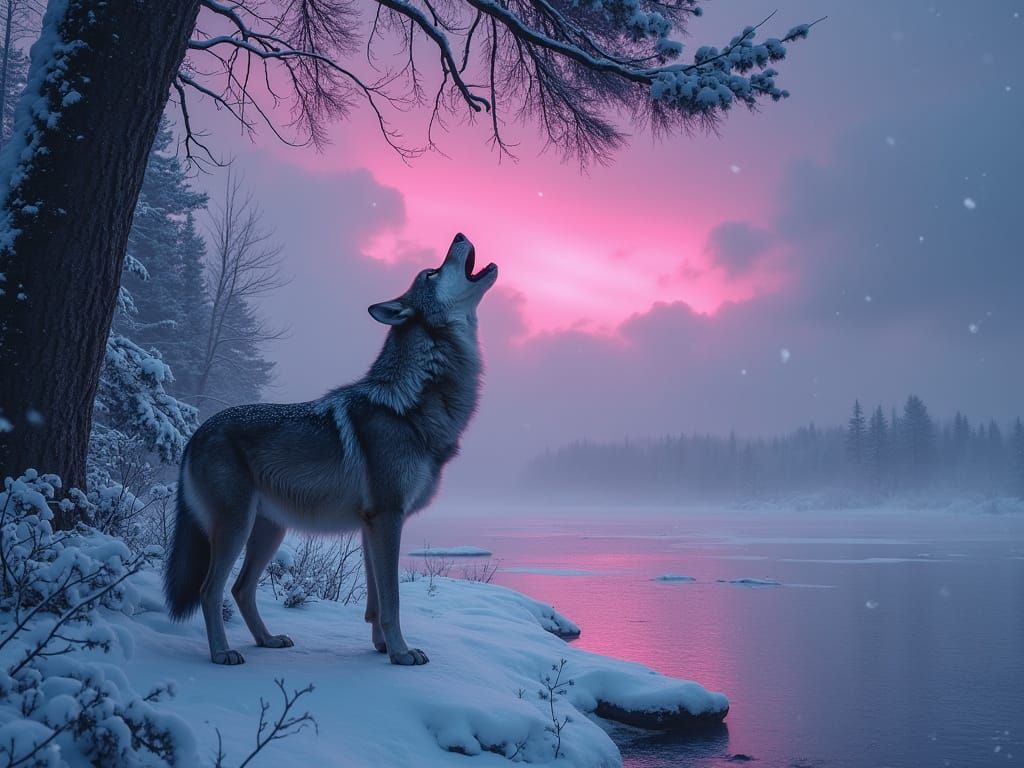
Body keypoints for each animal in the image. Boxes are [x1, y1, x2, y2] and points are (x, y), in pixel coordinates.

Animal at [164, 233, 497, 666]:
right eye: (431, 272)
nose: (458, 235)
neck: (410, 404)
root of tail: (195, 432)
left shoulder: (372, 525)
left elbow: (375, 602)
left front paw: (381, 648)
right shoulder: (387, 517)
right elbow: (392, 601)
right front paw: (401, 654)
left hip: (269, 531)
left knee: (240, 588)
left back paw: (267, 640)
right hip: (236, 527)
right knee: (210, 591)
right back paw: (223, 653)